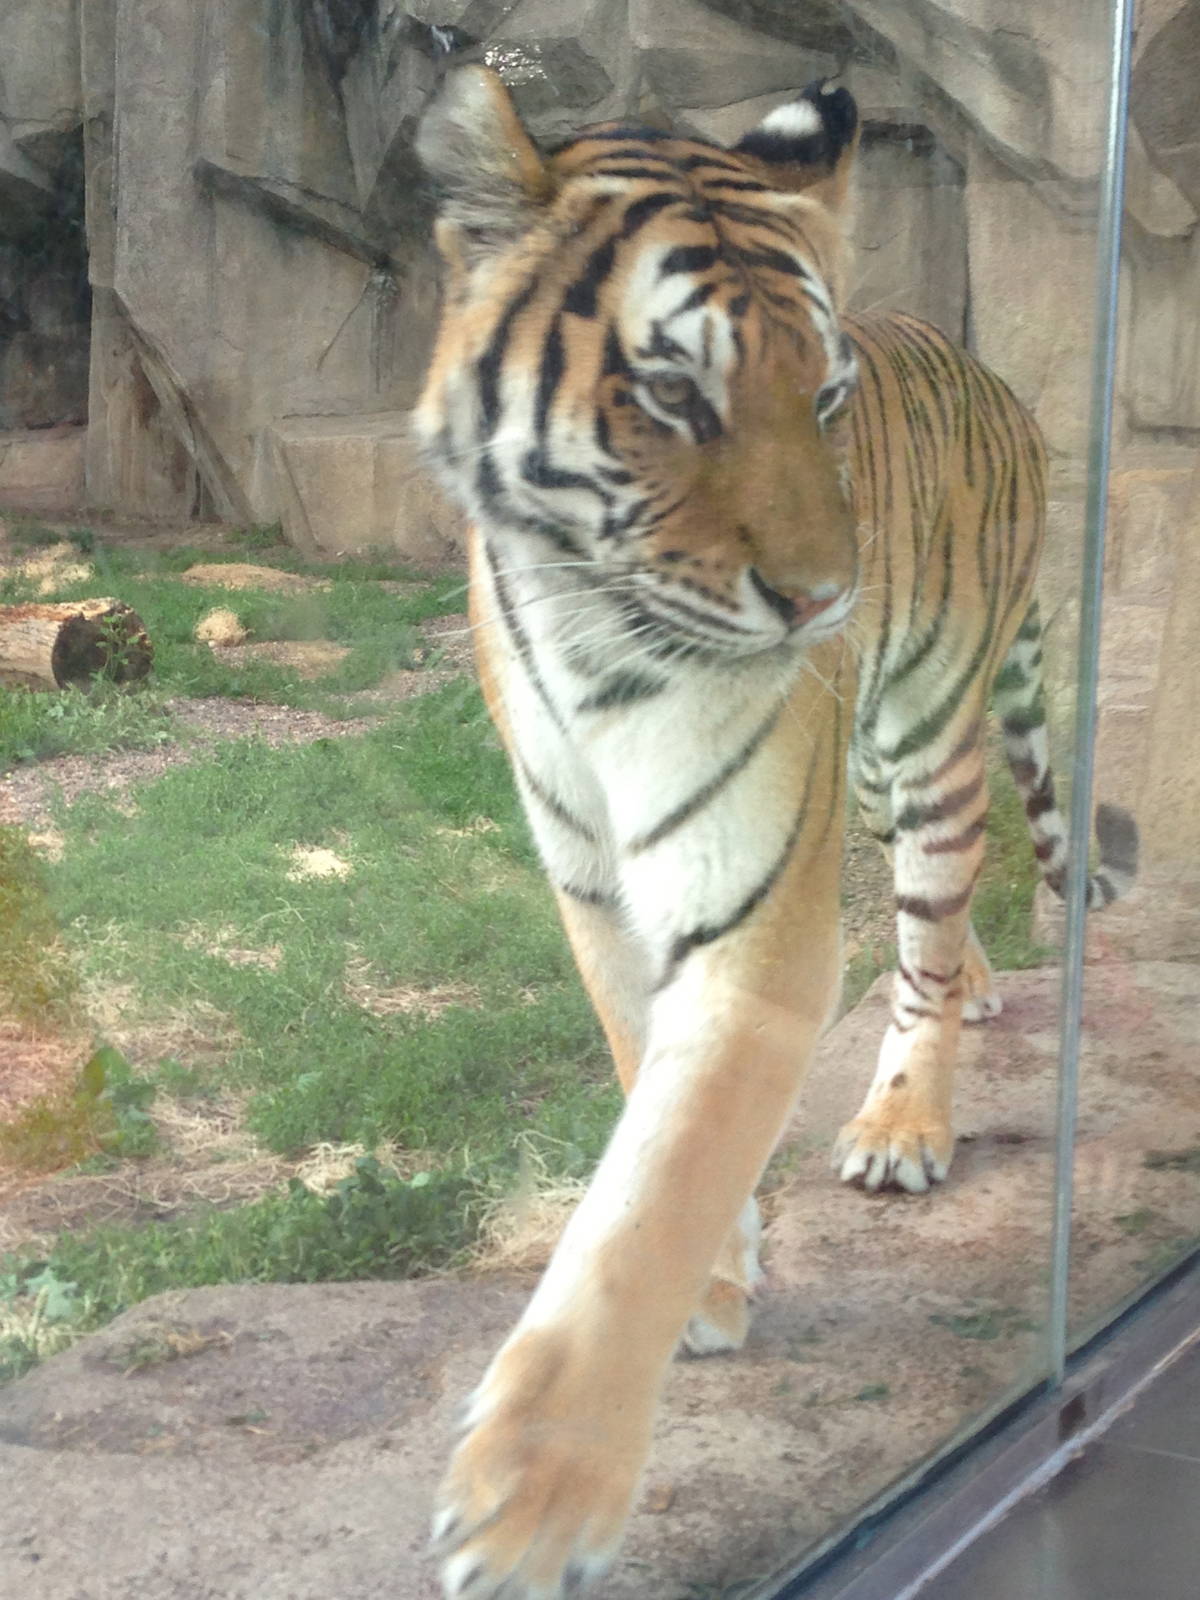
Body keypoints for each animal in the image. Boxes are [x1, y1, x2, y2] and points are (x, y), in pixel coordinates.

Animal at [412, 65, 1137, 1600]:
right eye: (672, 391)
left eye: (825, 397)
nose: (822, 602)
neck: (599, 643)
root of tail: (990, 374)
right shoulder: (588, 889)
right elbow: (648, 1088)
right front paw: (720, 1278)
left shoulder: (755, 911)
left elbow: (665, 1172)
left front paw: (532, 1498)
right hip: (860, 773)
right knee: (942, 912)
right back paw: (979, 981)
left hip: (931, 737)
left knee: (925, 927)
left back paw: (906, 1115)